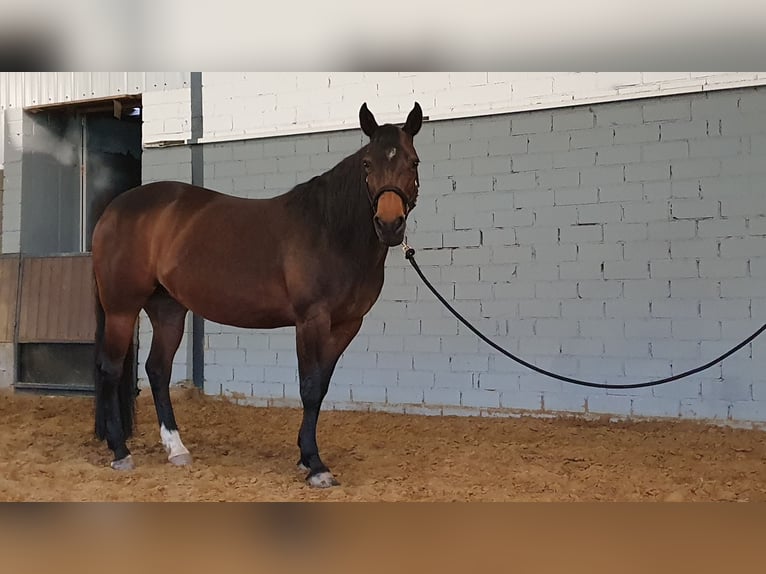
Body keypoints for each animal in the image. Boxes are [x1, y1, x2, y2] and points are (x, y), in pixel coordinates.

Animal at [94, 101, 426, 488]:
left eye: (413, 162)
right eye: (368, 164)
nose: (389, 225)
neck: (331, 231)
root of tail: (114, 210)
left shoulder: (347, 325)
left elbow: (322, 386)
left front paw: (305, 455)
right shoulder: (311, 320)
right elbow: (309, 386)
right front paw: (316, 464)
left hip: (169, 310)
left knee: (157, 370)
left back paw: (176, 449)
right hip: (121, 308)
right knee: (111, 369)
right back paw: (120, 451)